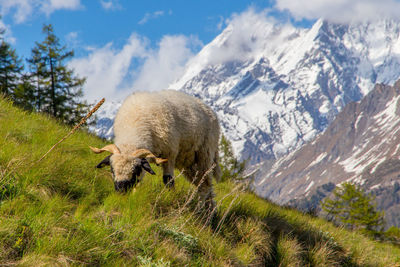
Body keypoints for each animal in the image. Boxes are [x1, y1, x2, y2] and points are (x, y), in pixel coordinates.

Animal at [89, 91, 222, 208]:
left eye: (135, 170)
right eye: (112, 169)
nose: (121, 192)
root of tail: (210, 111)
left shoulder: (169, 154)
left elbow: (168, 181)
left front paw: (171, 197)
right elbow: (139, 182)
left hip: (204, 154)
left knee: (205, 185)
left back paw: (201, 210)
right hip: (189, 163)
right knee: (204, 186)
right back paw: (210, 211)